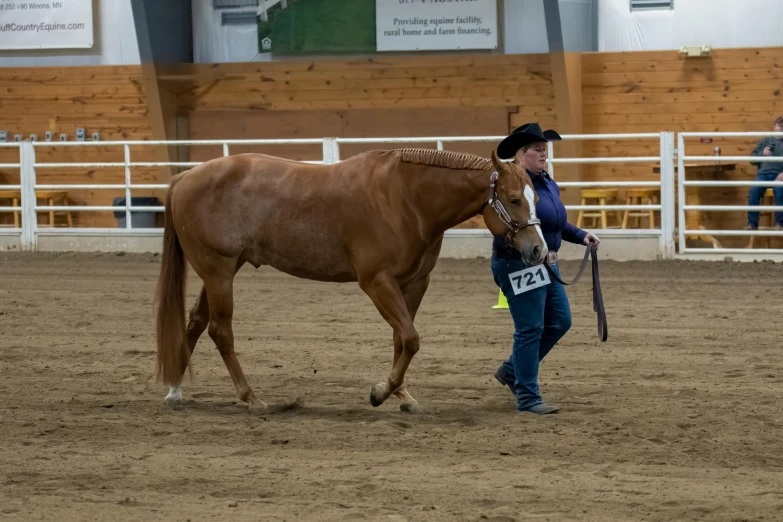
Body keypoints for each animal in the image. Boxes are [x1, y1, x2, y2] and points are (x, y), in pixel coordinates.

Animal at [156, 145, 548, 410]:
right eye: (514, 199)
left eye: (535, 198)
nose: (538, 251)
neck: (406, 198)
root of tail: (185, 177)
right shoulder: (376, 282)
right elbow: (411, 338)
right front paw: (381, 392)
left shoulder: (414, 283)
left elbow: (401, 339)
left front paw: (402, 394)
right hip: (218, 271)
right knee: (220, 331)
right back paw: (250, 397)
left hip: (221, 271)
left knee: (195, 321)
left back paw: (175, 389)